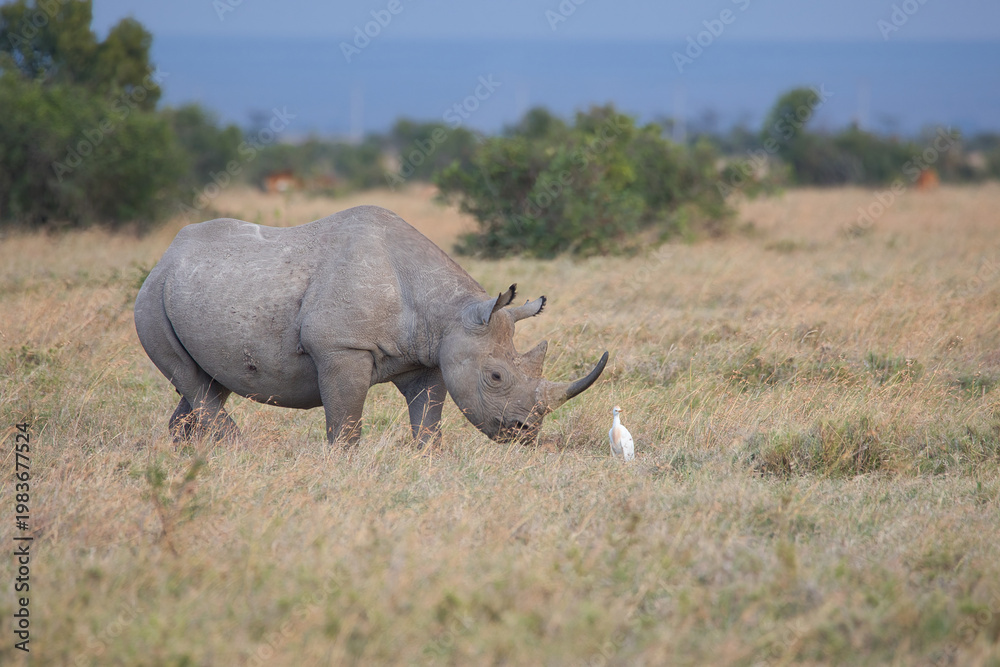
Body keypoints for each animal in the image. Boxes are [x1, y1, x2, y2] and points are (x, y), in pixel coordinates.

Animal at [134, 205, 608, 446]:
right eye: (494, 377)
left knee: (208, 384)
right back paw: (236, 450)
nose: (526, 433)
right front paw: (343, 466)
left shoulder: (430, 357)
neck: (449, 313)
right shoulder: (341, 349)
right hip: (151, 302)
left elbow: (428, 422)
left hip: (194, 289)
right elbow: (345, 424)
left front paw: (427, 460)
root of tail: (165, 257)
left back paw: (194, 456)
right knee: (193, 380)